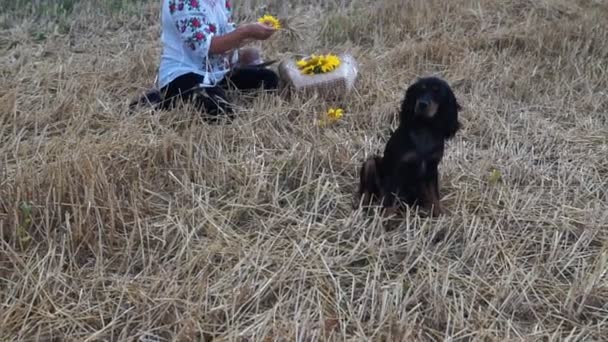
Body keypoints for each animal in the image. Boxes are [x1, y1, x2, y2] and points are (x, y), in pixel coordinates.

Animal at [356, 77, 460, 216]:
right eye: (421, 89)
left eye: (437, 92)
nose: (422, 104)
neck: (425, 128)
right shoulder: (398, 169)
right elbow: (390, 198)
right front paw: (385, 218)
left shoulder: (432, 168)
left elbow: (434, 195)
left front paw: (439, 214)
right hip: (371, 163)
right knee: (367, 191)